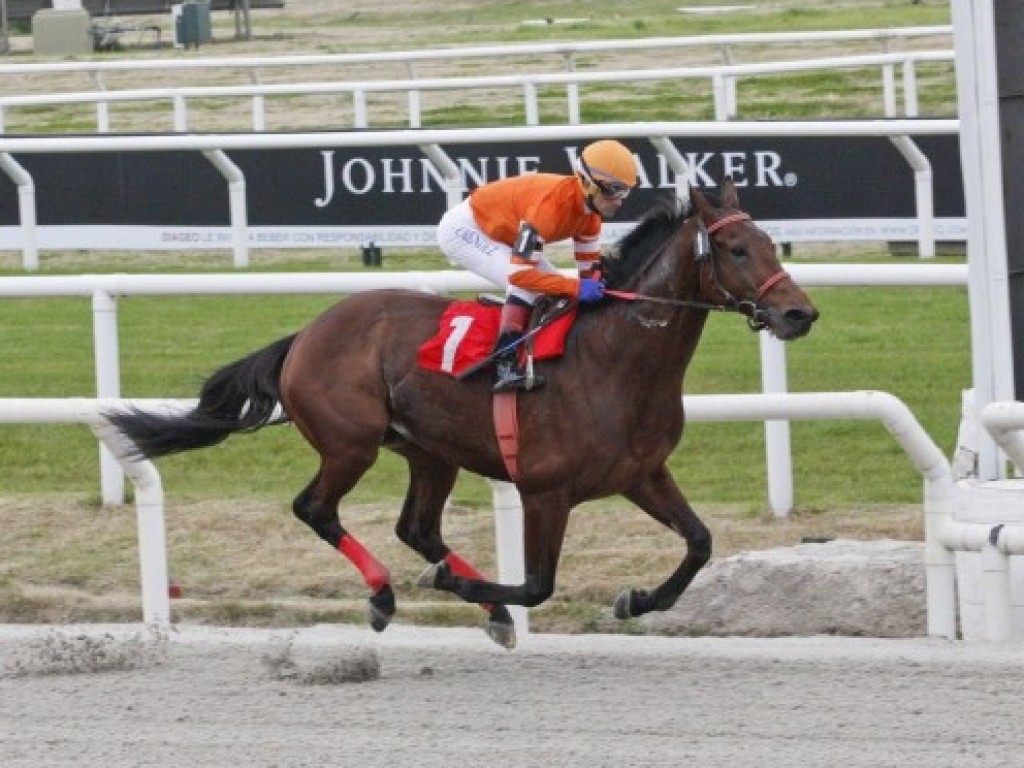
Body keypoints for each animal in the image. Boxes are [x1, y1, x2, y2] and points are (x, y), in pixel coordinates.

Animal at [103, 179, 815, 651]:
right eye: (738, 251)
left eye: (768, 242)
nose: (799, 313)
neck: (614, 359)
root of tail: (306, 334)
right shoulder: (545, 491)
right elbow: (536, 584)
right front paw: (474, 593)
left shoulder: (642, 473)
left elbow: (700, 542)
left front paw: (636, 600)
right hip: (351, 443)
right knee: (316, 509)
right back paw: (386, 594)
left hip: (428, 451)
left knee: (416, 527)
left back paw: (464, 597)